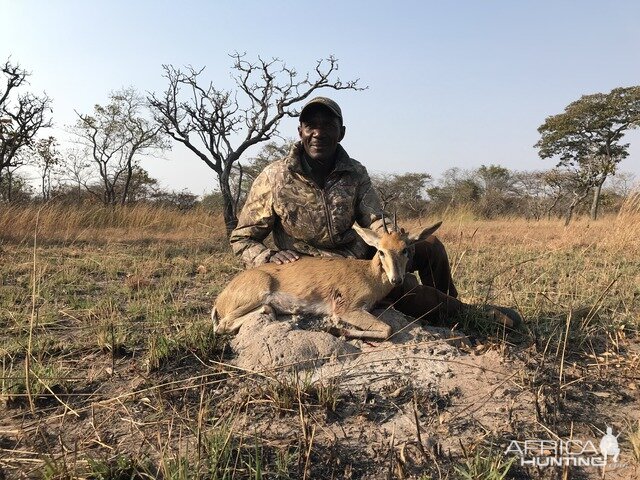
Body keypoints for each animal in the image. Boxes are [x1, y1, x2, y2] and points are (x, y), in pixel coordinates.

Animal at [212, 219, 442, 340]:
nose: (396, 279)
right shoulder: (347, 309)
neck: (369, 275)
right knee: (222, 325)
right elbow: (387, 329)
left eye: (405, 250)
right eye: (381, 251)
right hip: (257, 293)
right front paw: (335, 328)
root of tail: (219, 301)